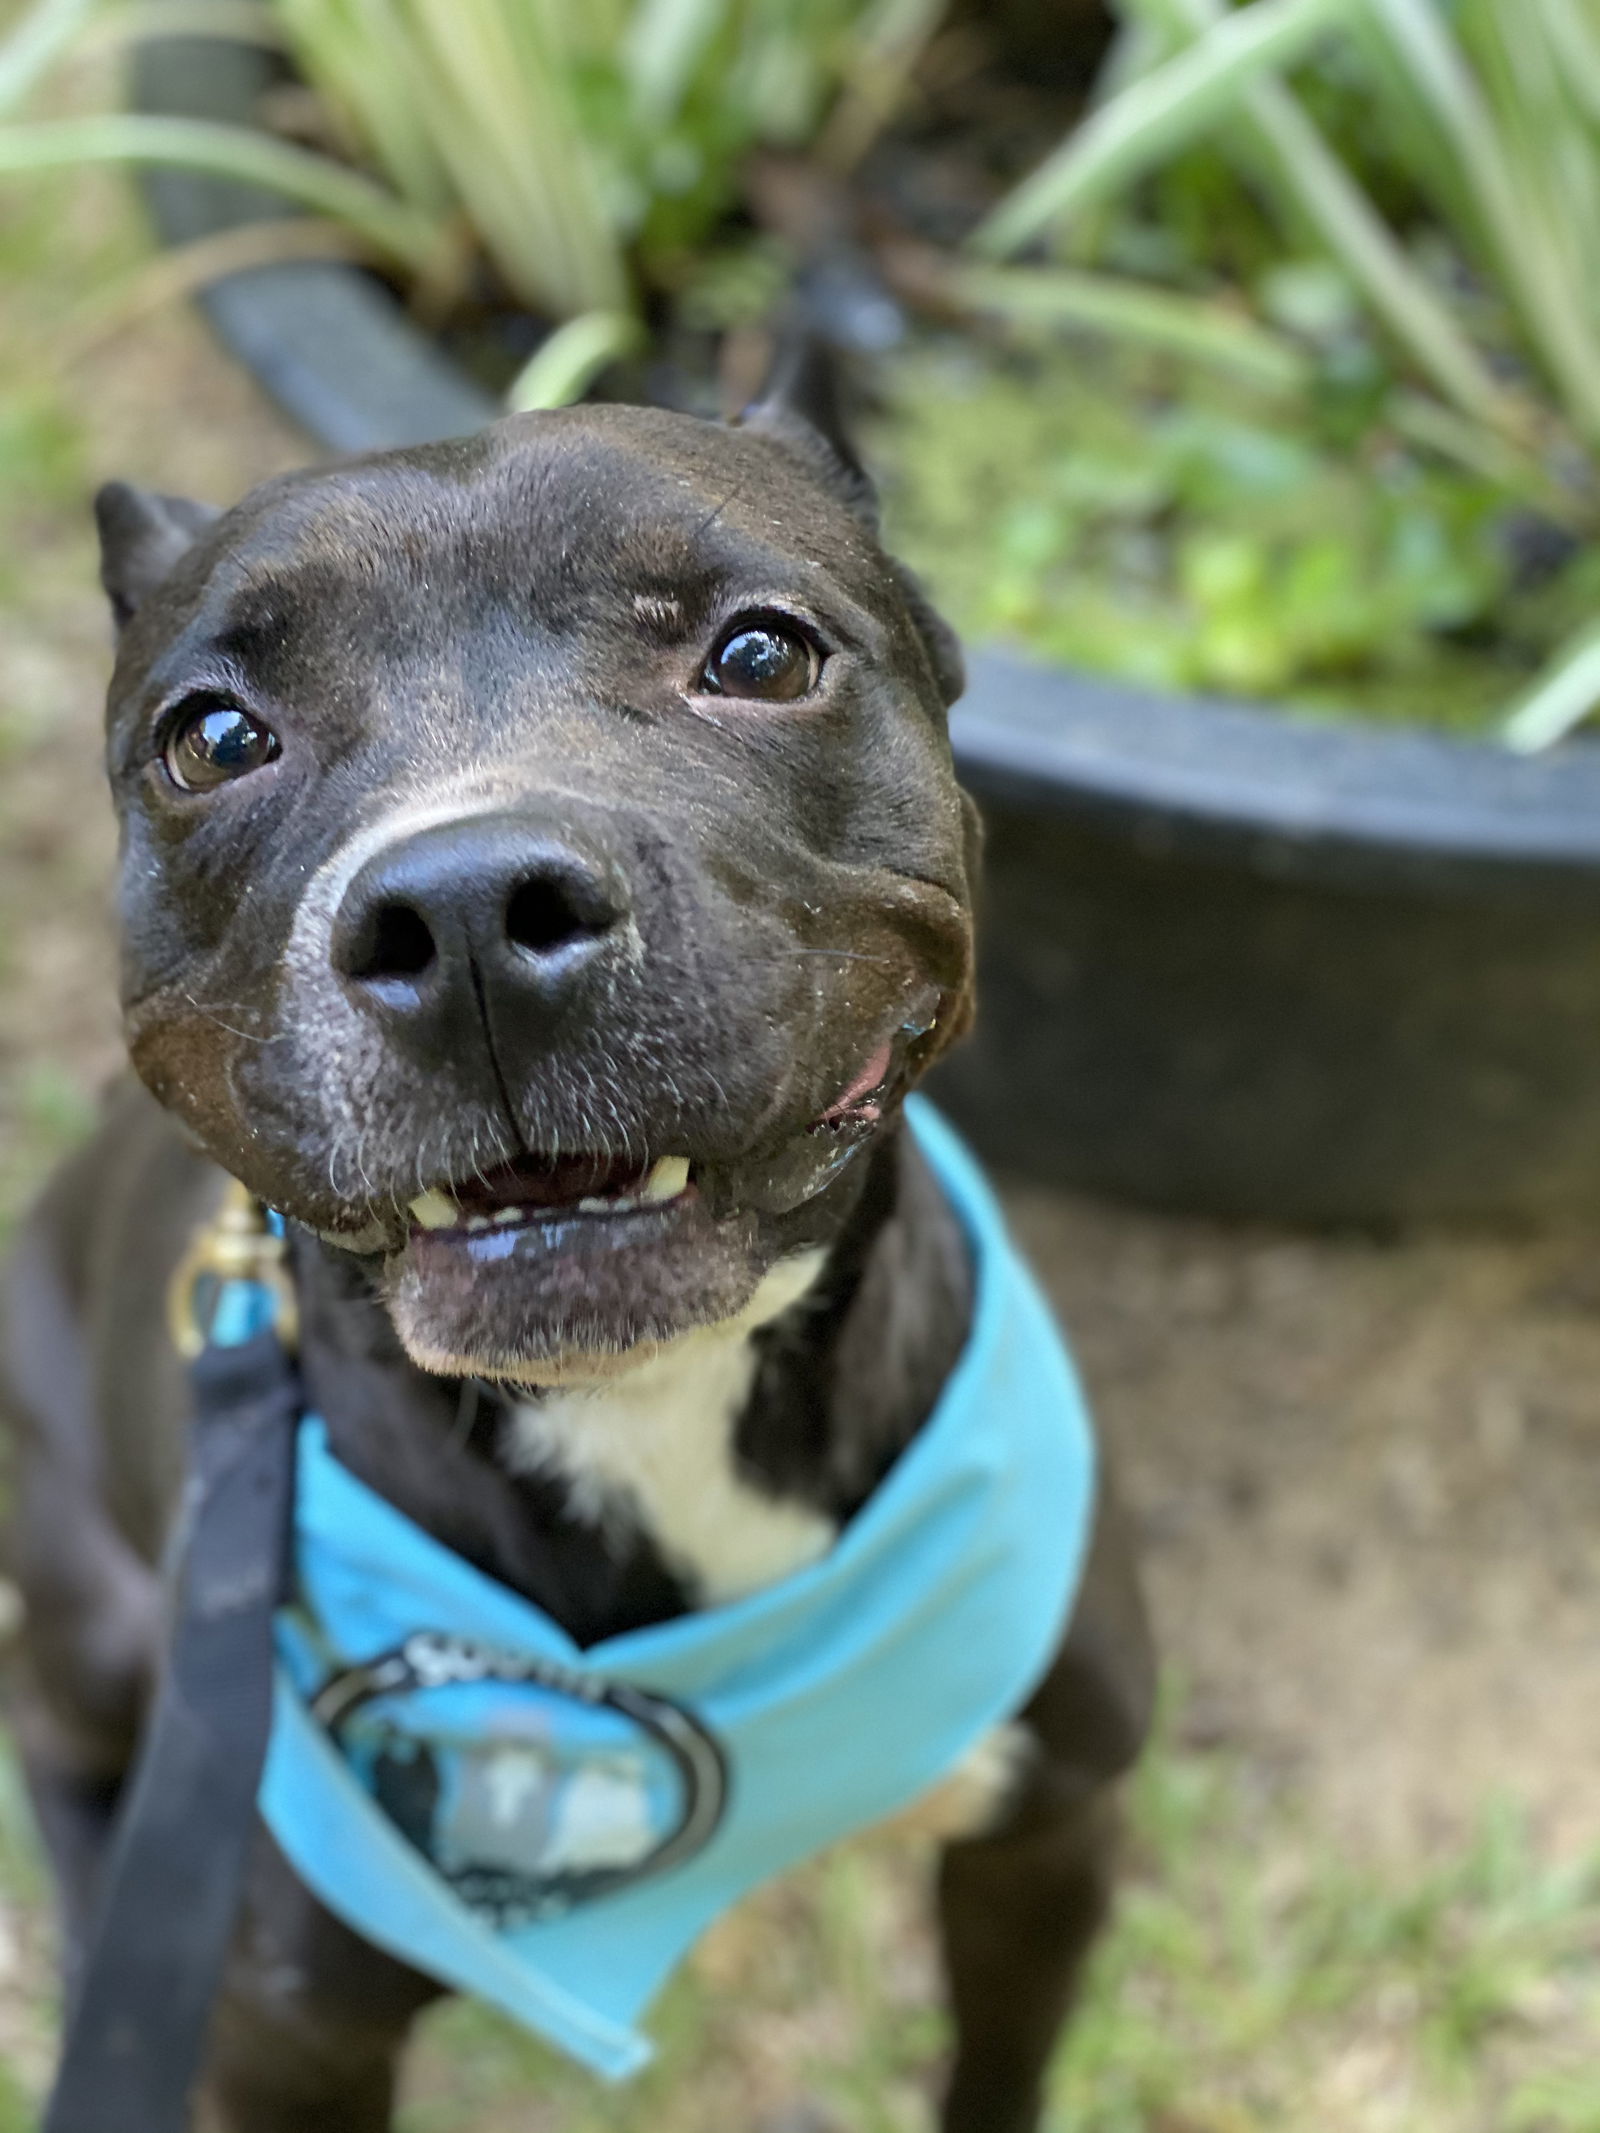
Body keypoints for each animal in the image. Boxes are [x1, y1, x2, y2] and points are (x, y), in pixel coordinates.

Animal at [0, 383, 1152, 2133]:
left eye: (762, 654)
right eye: (213, 737)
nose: (467, 907)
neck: (653, 1406)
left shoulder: (1051, 1832)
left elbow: (998, 2071)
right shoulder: (289, 2030)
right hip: (108, 1611)